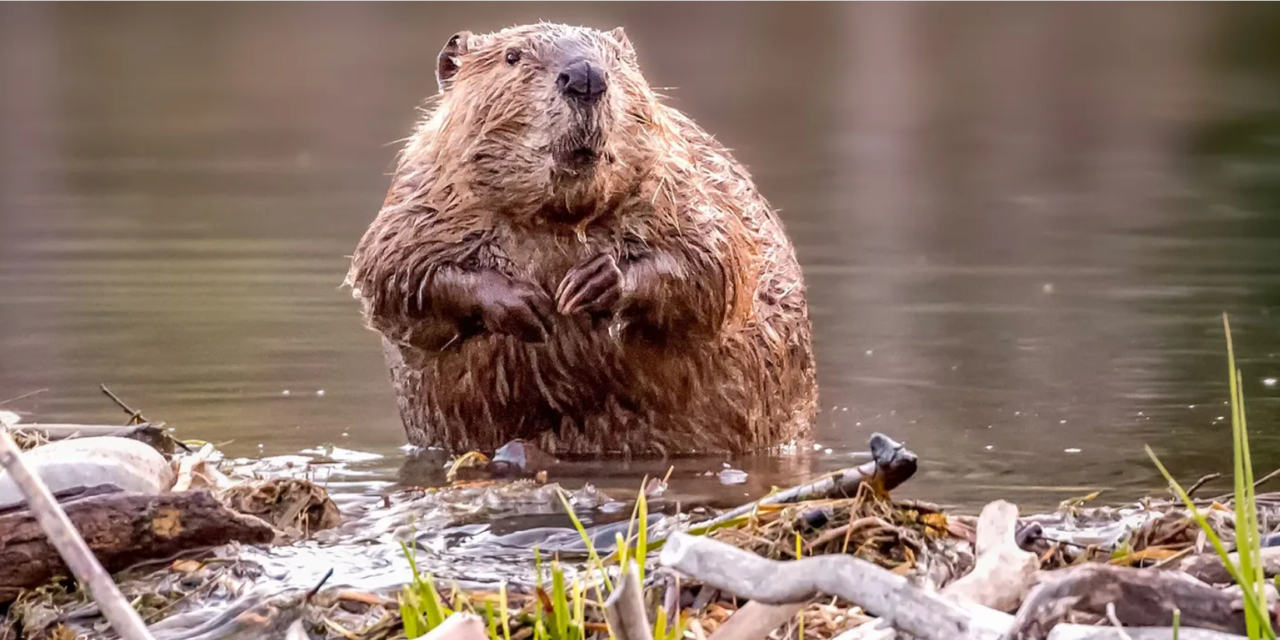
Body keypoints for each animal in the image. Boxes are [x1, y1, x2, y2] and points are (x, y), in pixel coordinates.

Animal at [345, 23, 814, 455]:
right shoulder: (420, 196)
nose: (586, 76)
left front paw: (592, 284)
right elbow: (392, 275)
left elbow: (718, 262)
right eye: (512, 56)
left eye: (617, 59)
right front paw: (525, 302)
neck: (558, 218)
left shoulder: (684, 181)